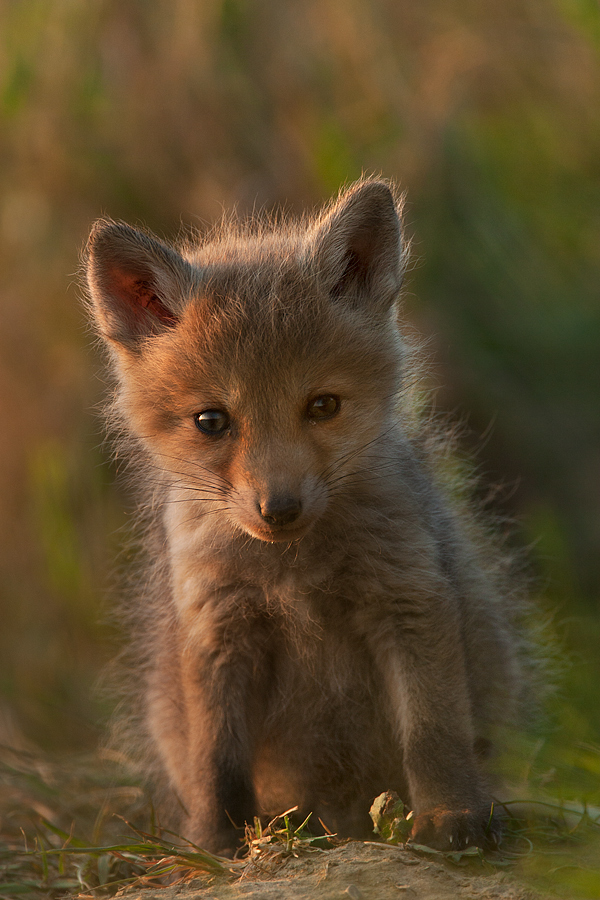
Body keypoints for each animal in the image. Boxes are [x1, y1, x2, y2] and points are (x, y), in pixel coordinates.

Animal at [85, 179, 524, 856]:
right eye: (211, 421)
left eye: (323, 406)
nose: (280, 507)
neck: (294, 574)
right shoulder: (217, 627)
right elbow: (216, 761)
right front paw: (215, 846)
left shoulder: (408, 595)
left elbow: (433, 731)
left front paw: (450, 816)